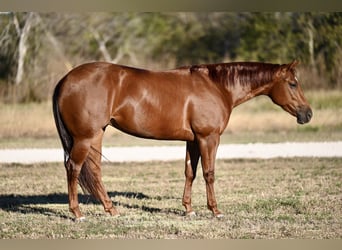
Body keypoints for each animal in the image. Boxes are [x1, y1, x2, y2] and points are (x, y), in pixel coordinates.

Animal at [52, 59, 312, 220]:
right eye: (293, 84)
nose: (307, 114)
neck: (217, 86)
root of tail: (65, 79)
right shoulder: (209, 138)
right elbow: (209, 173)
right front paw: (215, 211)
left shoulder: (193, 140)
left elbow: (190, 172)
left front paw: (188, 209)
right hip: (85, 137)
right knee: (73, 168)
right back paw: (77, 213)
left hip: (96, 135)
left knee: (94, 171)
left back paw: (111, 210)